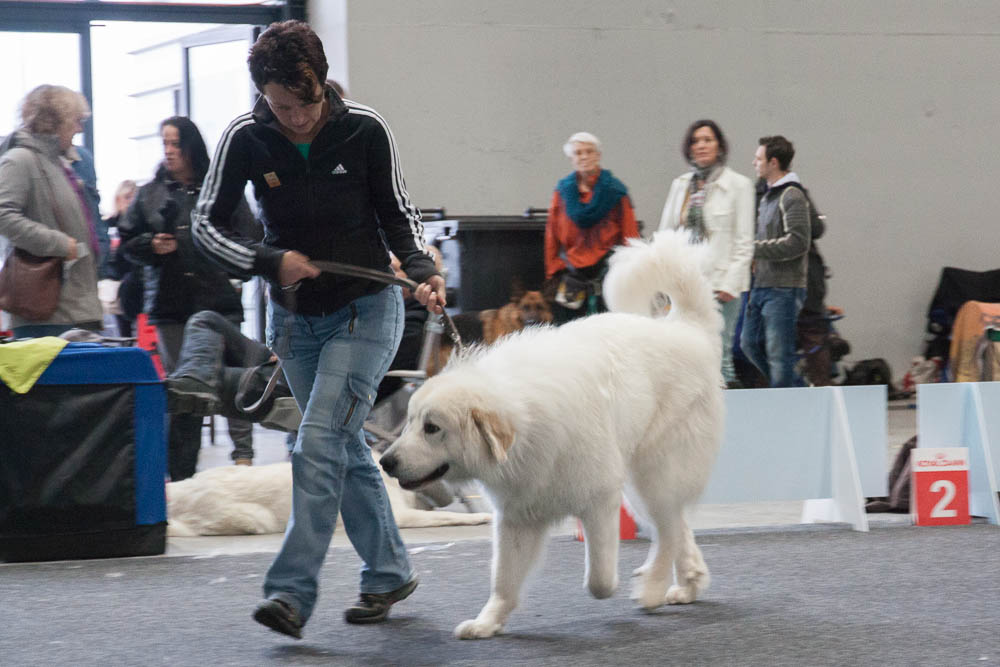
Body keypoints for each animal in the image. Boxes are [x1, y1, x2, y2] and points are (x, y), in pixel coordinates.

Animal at [378, 231, 724, 640]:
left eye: (432, 428)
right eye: (411, 421)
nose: (385, 461)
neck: (525, 425)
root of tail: (687, 328)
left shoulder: (599, 501)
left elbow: (599, 580)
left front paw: (615, 586)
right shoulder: (516, 516)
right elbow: (504, 580)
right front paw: (487, 623)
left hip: (652, 474)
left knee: (669, 530)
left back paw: (652, 588)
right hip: (644, 483)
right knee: (677, 526)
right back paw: (688, 583)